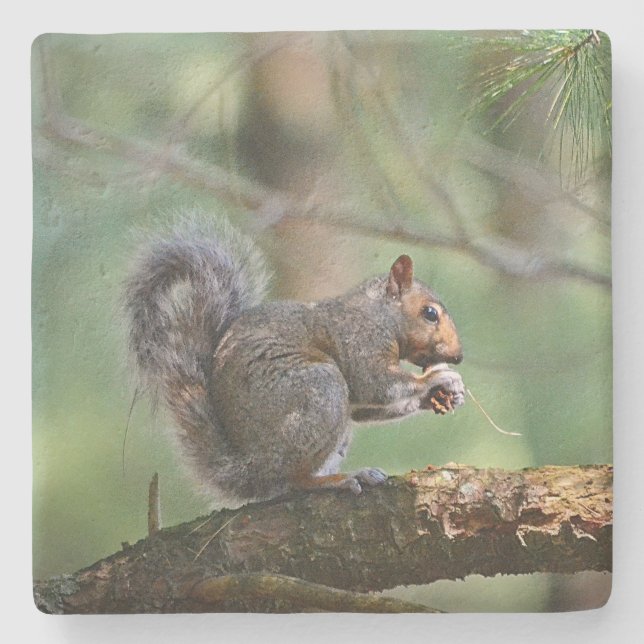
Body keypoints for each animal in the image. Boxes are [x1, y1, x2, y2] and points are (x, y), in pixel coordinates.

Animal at [125, 219, 465, 505]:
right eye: (430, 313)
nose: (458, 356)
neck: (378, 314)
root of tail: (254, 465)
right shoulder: (358, 341)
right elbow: (376, 383)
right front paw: (436, 380)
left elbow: (368, 406)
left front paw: (445, 393)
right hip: (319, 391)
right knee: (294, 480)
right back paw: (336, 480)